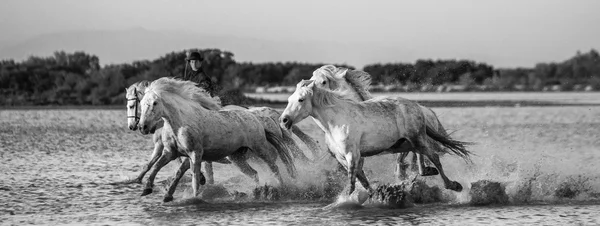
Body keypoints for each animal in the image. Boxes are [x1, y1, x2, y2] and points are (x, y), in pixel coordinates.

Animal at [278, 79, 472, 196]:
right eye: (288, 99)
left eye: (301, 100)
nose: (284, 120)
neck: (335, 123)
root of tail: (417, 106)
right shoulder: (342, 158)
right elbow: (362, 181)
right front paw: (374, 196)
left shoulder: (352, 155)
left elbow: (352, 183)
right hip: (406, 144)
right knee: (421, 161)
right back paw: (428, 173)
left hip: (417, 139)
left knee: (435, 157)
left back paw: (453, 185)